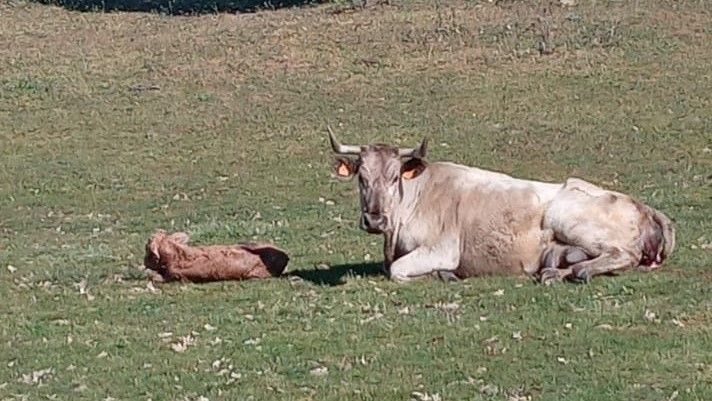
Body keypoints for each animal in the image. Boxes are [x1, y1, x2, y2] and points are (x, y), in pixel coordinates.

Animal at [328, 126, 672, 282]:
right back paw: (557, 272)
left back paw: (581, 270)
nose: (374, 219)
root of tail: (645, 208)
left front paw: (443, 275)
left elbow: (398, 270)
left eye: (394, 177)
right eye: (362, 177)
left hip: (566, 215)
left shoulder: (443, 249)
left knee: (622, 255)